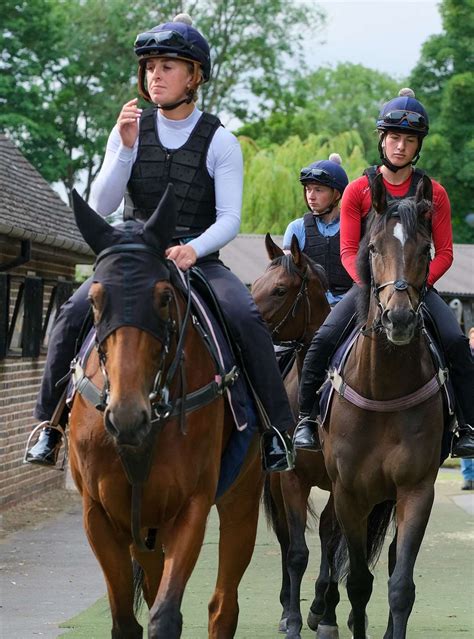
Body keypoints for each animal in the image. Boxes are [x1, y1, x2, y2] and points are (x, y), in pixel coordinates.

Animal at [68, 186, 262, 639]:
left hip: (242, 501)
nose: (126, 417)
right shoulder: (99, 517)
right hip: (145, 531)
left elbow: (165, 615)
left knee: (223, 607)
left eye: (163, 298)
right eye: (95, 299)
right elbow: (126, 620)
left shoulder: (190, 507)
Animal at [322, 174, 444, 639]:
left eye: (425, 249)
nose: (400, 319)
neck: (385, 391)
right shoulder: (348, 494)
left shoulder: (417, 489)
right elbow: (358, 582)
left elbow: (400, 584)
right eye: (373, 247)